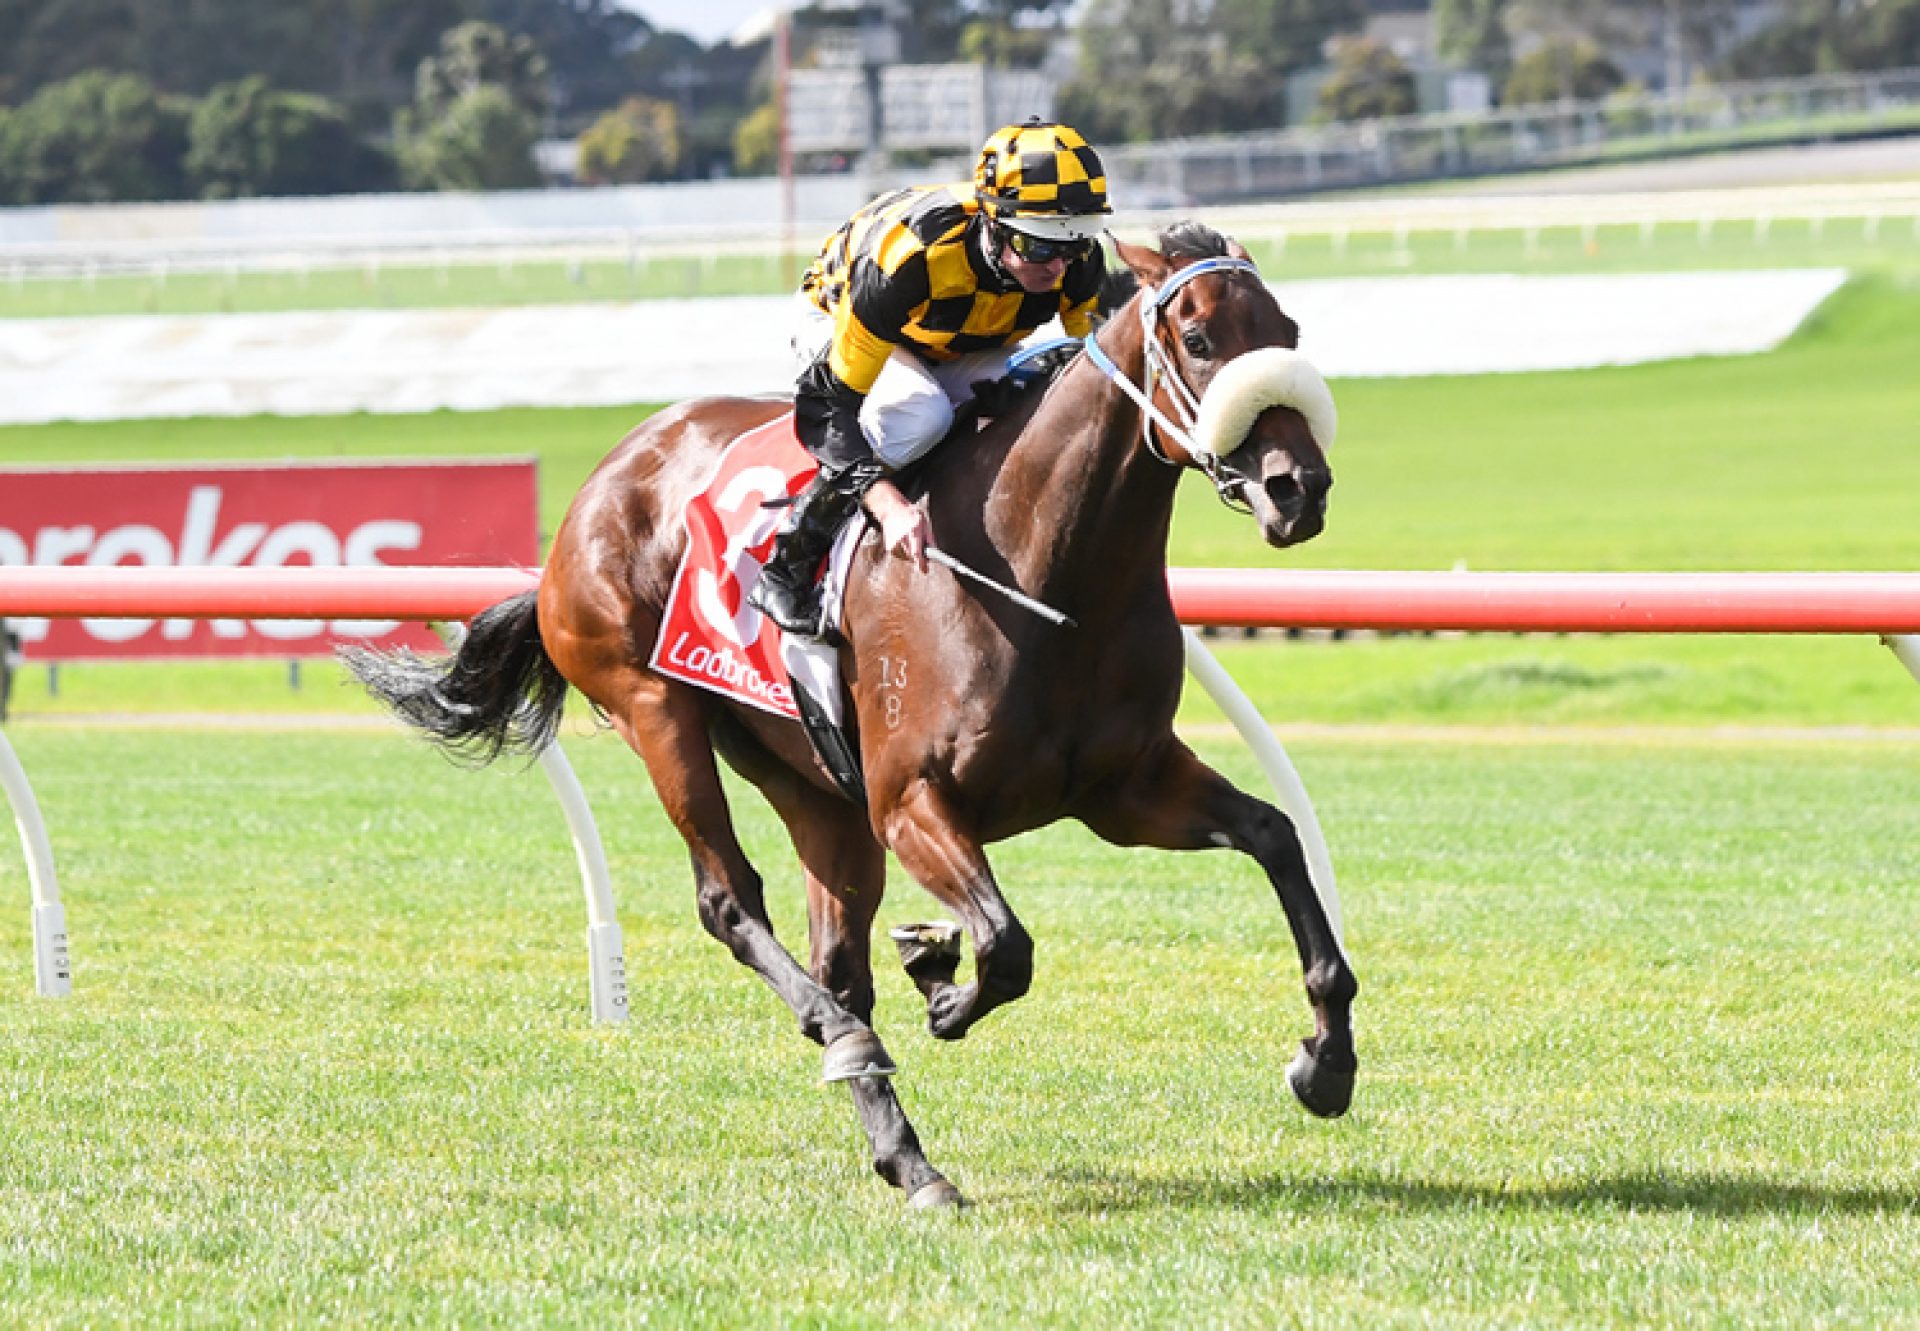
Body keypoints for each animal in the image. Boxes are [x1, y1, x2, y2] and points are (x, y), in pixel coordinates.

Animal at [349, 222, 1367, 1206]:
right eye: (1197, 340)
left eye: (1288, 332)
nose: (1300, 488)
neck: (1044, 566)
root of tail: (599, 485)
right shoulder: (912, 798)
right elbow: (1006, 943)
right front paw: (944, 987)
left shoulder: (1125, 788)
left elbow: (1275, 835)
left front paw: (1325, 1064)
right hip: (655, 707)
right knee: (732, 903)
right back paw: (848, 1040)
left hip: (812, 782)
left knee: (839, 955)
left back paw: (906, 1153)